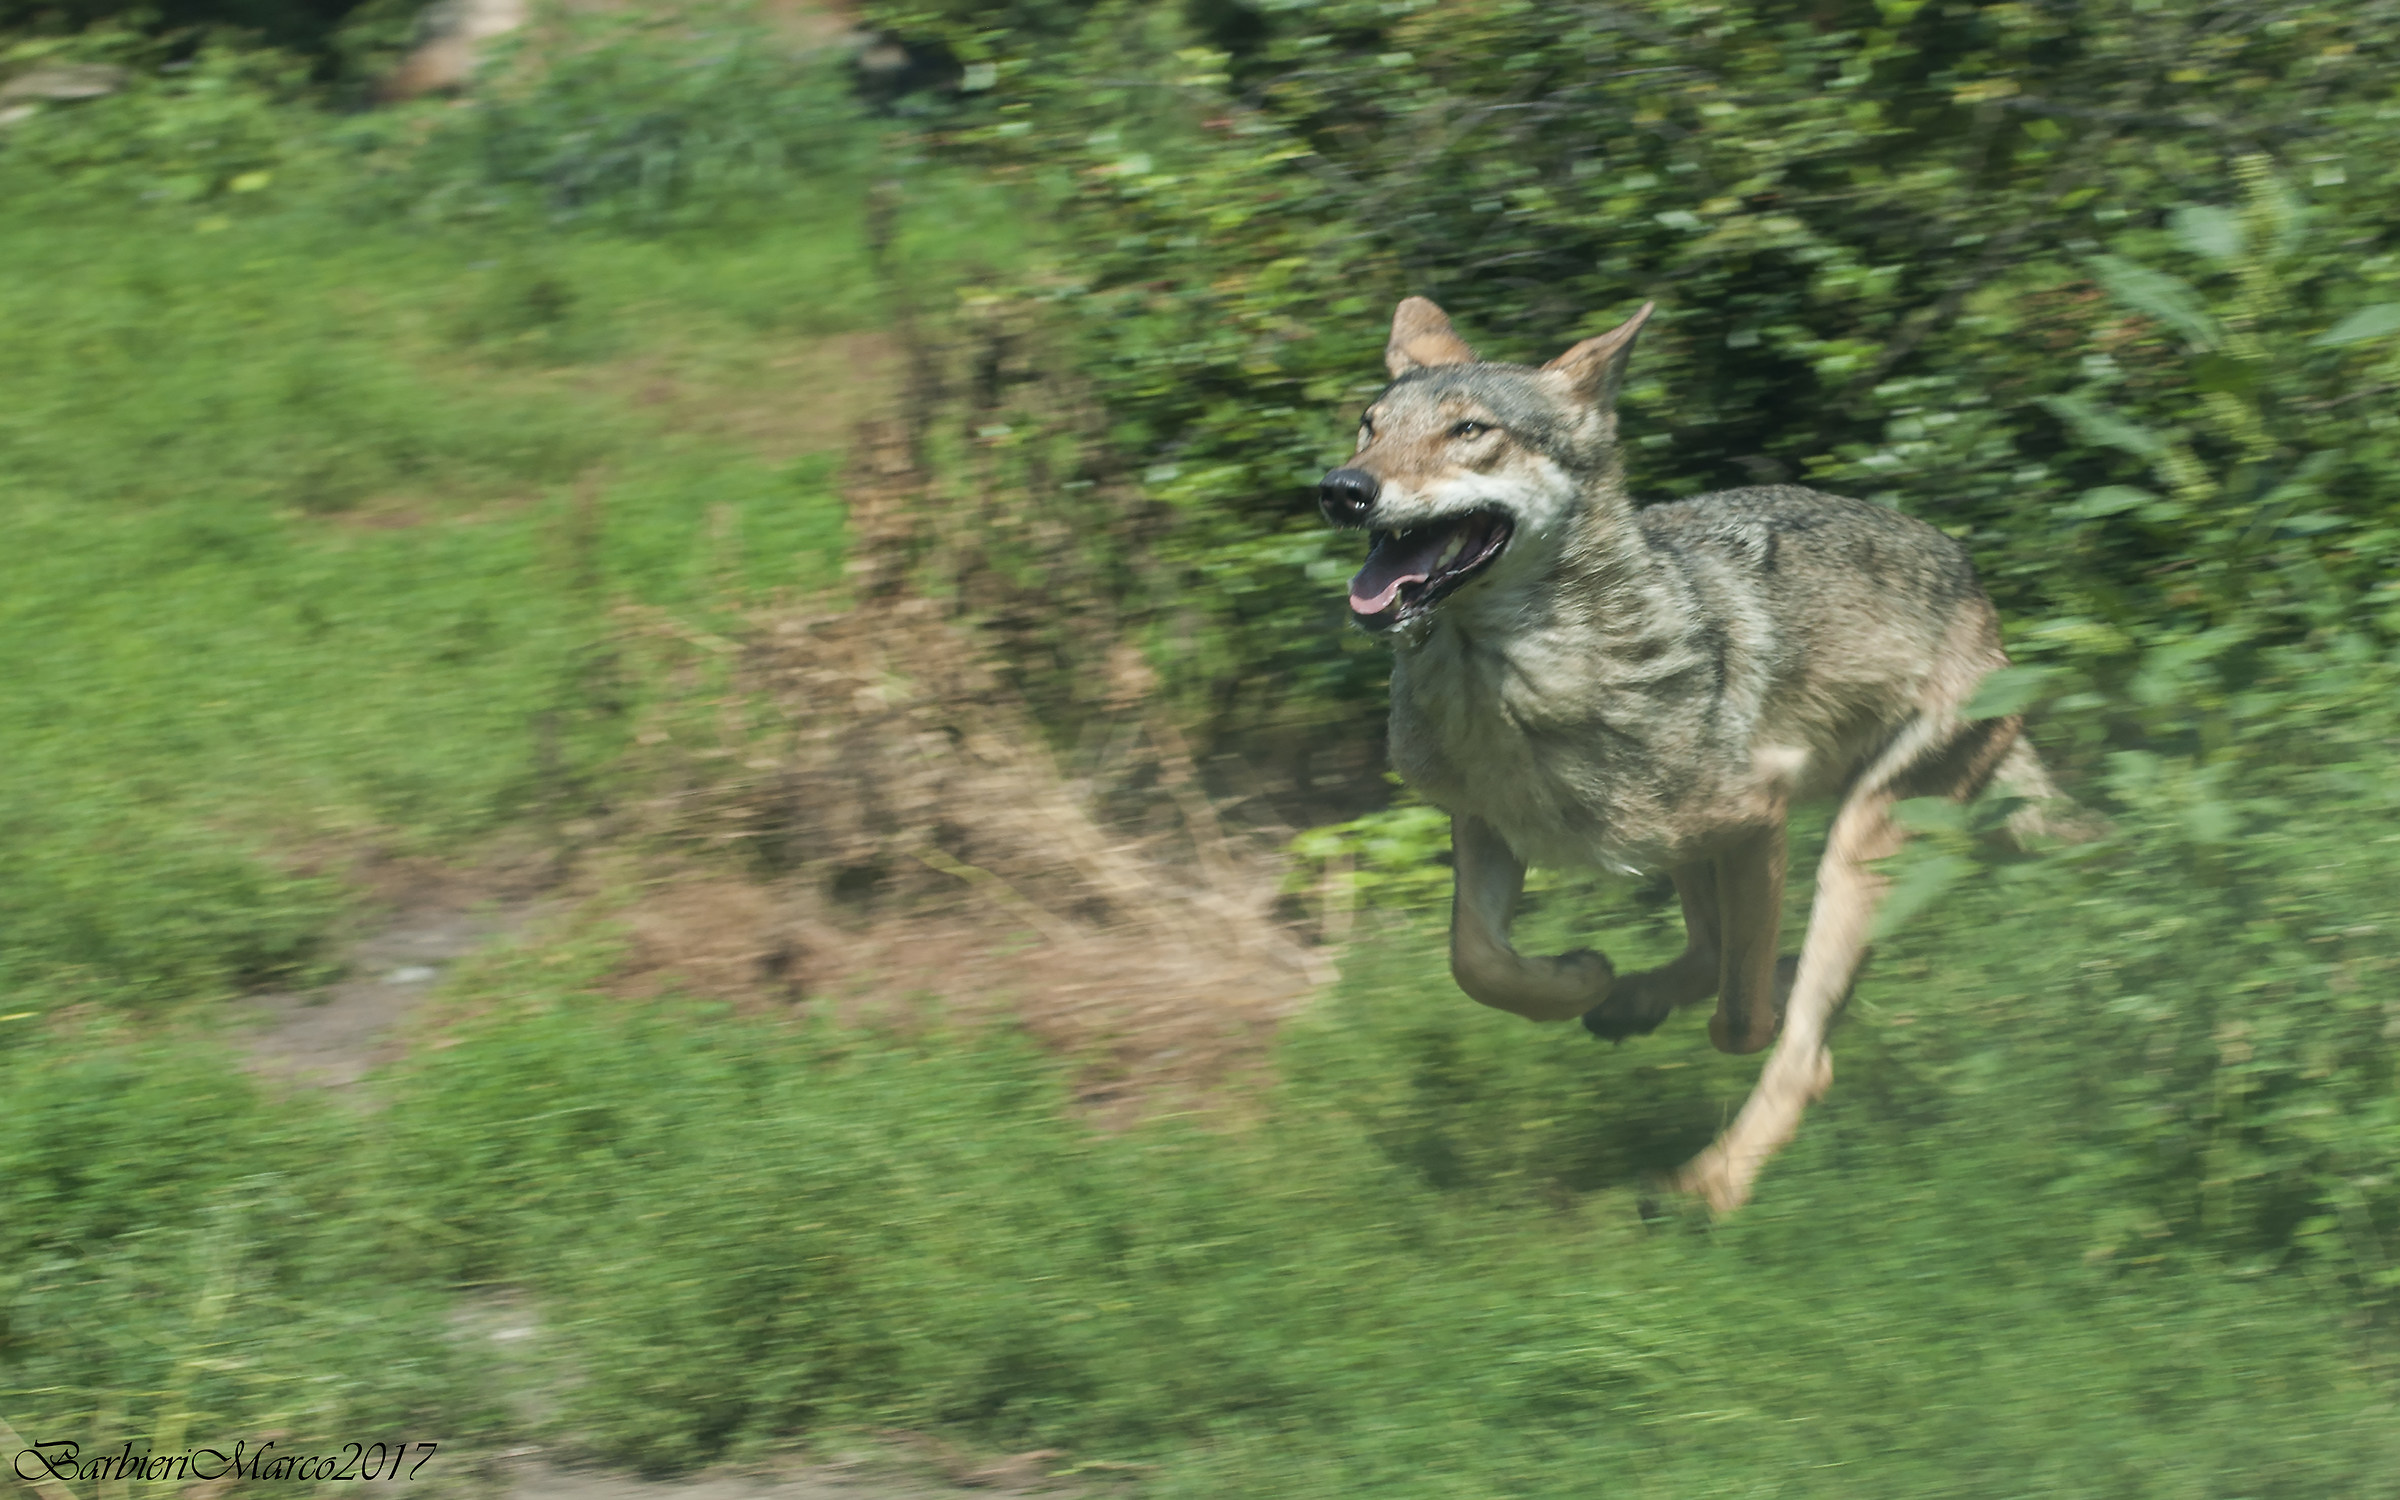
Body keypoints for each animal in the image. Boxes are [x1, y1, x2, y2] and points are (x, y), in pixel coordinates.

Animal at [1319, 297, 2069, 1212]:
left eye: (1470, 431)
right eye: (1368, 427)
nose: (1341, 489)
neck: (1513, 685)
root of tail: (1979, 591)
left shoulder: (1759, 819)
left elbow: (1742, 1023)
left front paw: (1732, 995)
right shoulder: (1485, 822)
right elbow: (1478, 961)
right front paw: (1580, 980)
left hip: (1851, 847)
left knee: (1801, 1050)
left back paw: (1707, 1186)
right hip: (1684, 849)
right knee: (1715, 954)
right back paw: (1631, 1004)